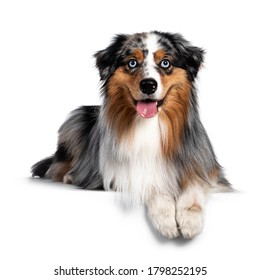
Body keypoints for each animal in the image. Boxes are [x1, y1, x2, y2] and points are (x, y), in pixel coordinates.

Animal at [32, 31, 230, 238]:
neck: (150, 124)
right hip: (76, 119)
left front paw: (190, 220)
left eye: (165, 63)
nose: (148, 85)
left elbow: (194, 186)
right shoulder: (125, 175)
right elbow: (153, 185)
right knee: (57, 166)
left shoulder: (205, 168)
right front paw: (165, 219)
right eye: (132, 62)